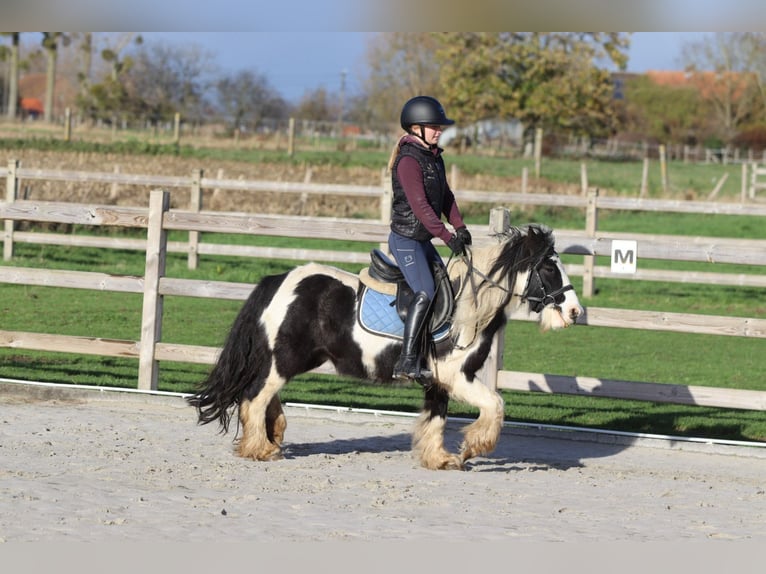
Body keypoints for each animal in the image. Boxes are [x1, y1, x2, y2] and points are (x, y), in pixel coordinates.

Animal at [187, 223, 583, 470]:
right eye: (549, 268)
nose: (576, 312)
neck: (469, 307)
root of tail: (278, 280)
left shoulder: (438, 381)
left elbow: (436, 419)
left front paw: (440, 459)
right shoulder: (459, 377)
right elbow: (496, 405)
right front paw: (473, 447)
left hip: (287, 360)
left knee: (266, 397)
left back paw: (273, 437)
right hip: (285, 360)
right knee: (254, 399)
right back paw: (261, 449)